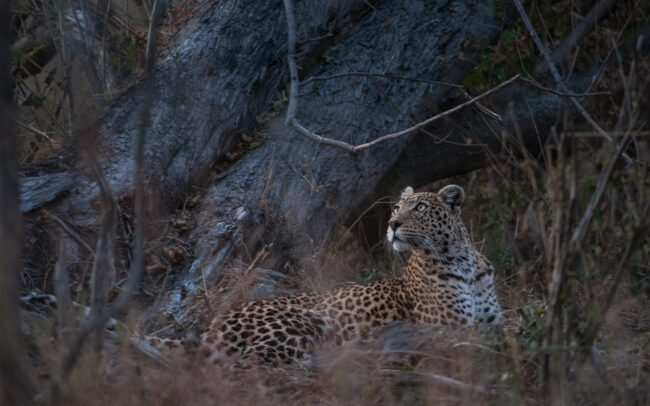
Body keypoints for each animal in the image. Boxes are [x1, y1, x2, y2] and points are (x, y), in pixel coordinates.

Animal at [146, 184, 502, 365]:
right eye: (397, 207)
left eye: (421, 208)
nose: (392, 224)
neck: (462, 261)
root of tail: (214, 325)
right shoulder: (449, 326)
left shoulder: (493, 322)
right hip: (302, 324)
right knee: (249, 362)